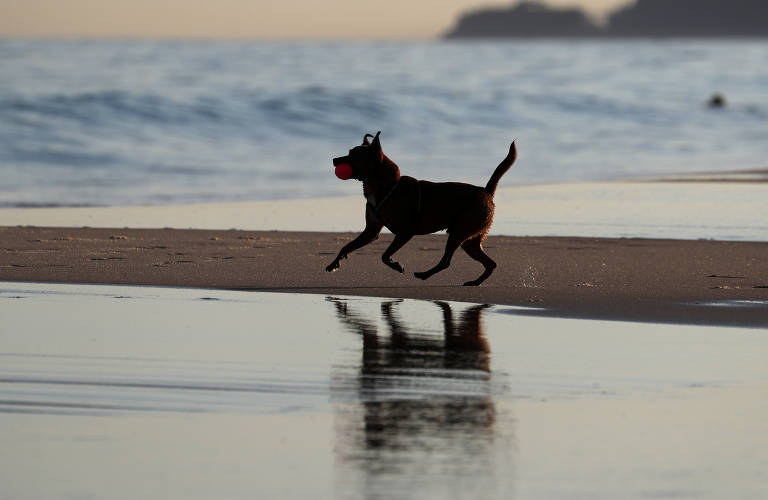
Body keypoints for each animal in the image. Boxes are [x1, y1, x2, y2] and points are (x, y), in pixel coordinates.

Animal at [324, 131, 516, 288]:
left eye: (352, 155)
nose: (333, 160)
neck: (386, 186)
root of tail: (487, 191)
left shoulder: (405, 232)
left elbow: (384, 255)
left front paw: (396, 265)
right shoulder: (371, 231)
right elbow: (347, 246)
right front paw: (334, 263)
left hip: (459, 233)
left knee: (447, 261)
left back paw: (425, 274)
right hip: (469, 240)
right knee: (489, 263)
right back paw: (474, 282)